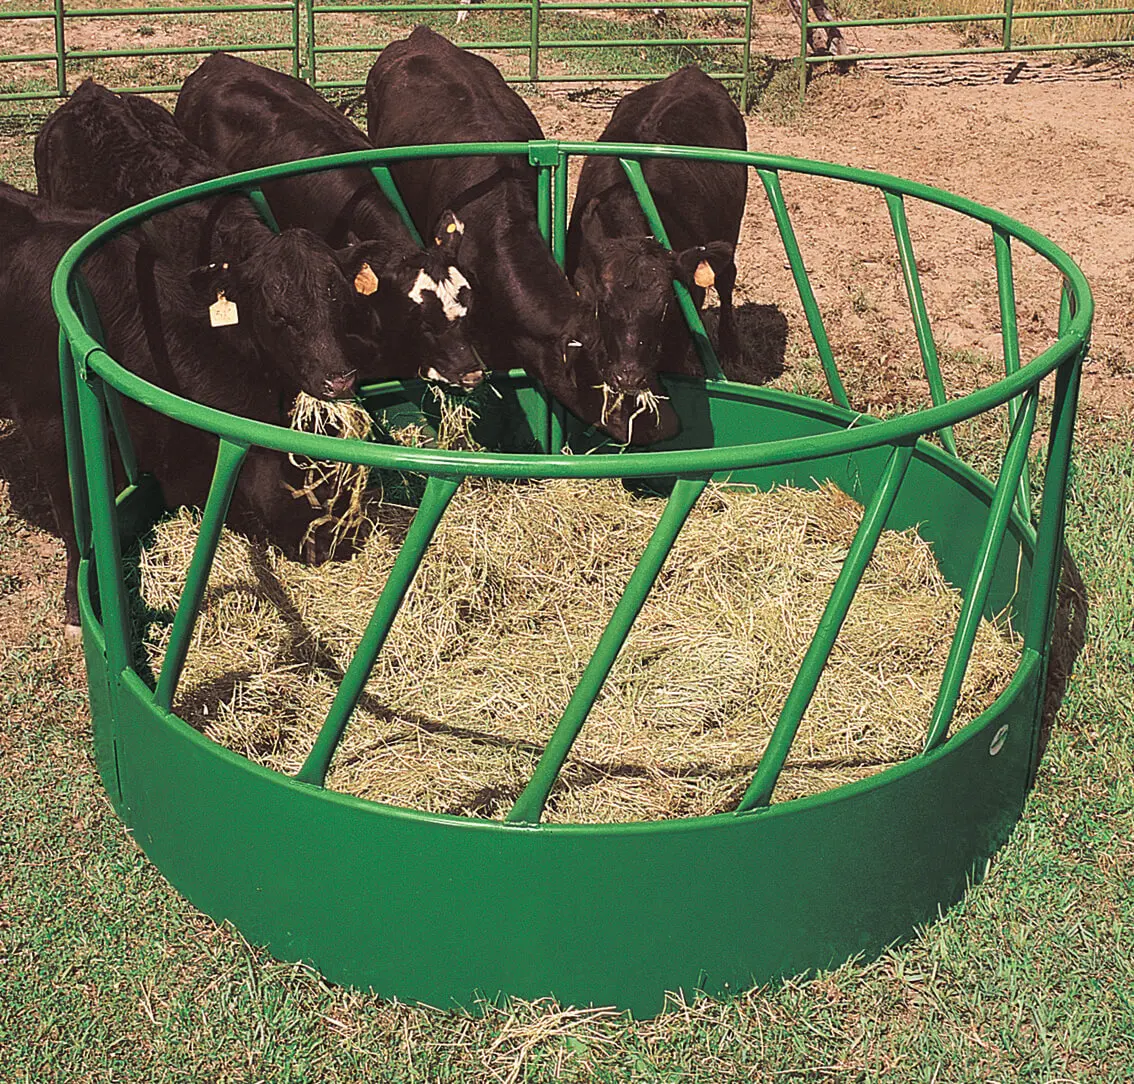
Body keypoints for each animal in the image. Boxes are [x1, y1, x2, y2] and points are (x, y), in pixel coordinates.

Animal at [0, 182, 369, 638]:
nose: (338, 543)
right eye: (303, 481)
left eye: (344, 305)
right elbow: (74, 523)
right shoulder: (47, 427)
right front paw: (75, 612)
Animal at [565, 67, 747, 392]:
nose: (629, 376)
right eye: (604, 302)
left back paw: (730, 347)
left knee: (726, 279)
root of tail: (692, 72)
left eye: (665, 306)